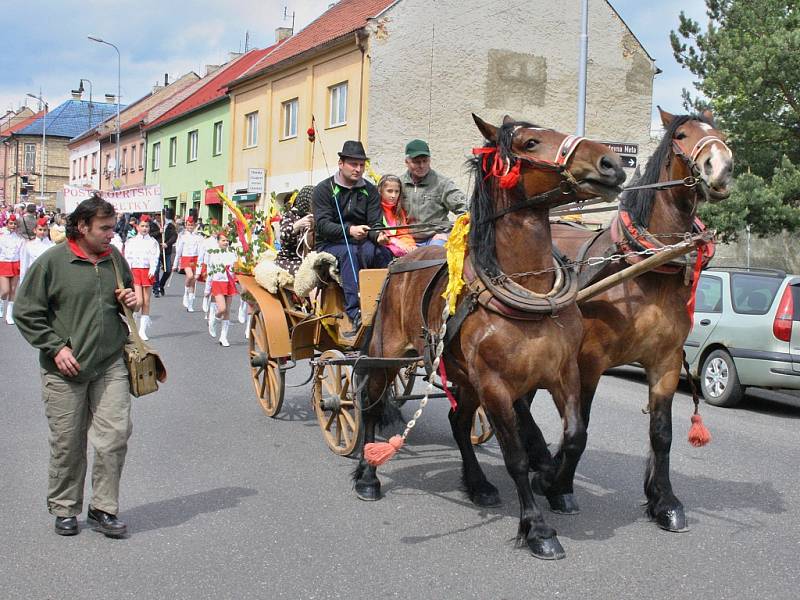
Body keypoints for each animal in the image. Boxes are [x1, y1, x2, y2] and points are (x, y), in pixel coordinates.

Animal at [354, 113, 624, 556]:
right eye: (530, 143)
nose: (612, 163)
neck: (530, 291)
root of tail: (398, 264)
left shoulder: (563, 374)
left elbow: (574, 436)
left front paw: (551, 481)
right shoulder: (497, 386)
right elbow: (515, 456)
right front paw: (538, 528)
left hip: (463, 377)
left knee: (457, 421)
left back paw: (478, 484)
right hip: (388, 353)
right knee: (371, 405)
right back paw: (366, 474)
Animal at [532, 108, 732, 528]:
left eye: (722, 135)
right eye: (682, 136)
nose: (721, 166)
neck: (645, 267)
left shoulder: (666, 362)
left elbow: (662, 433)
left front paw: (664, 500)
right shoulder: (590, 362)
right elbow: (580, 428)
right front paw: (557, 485)